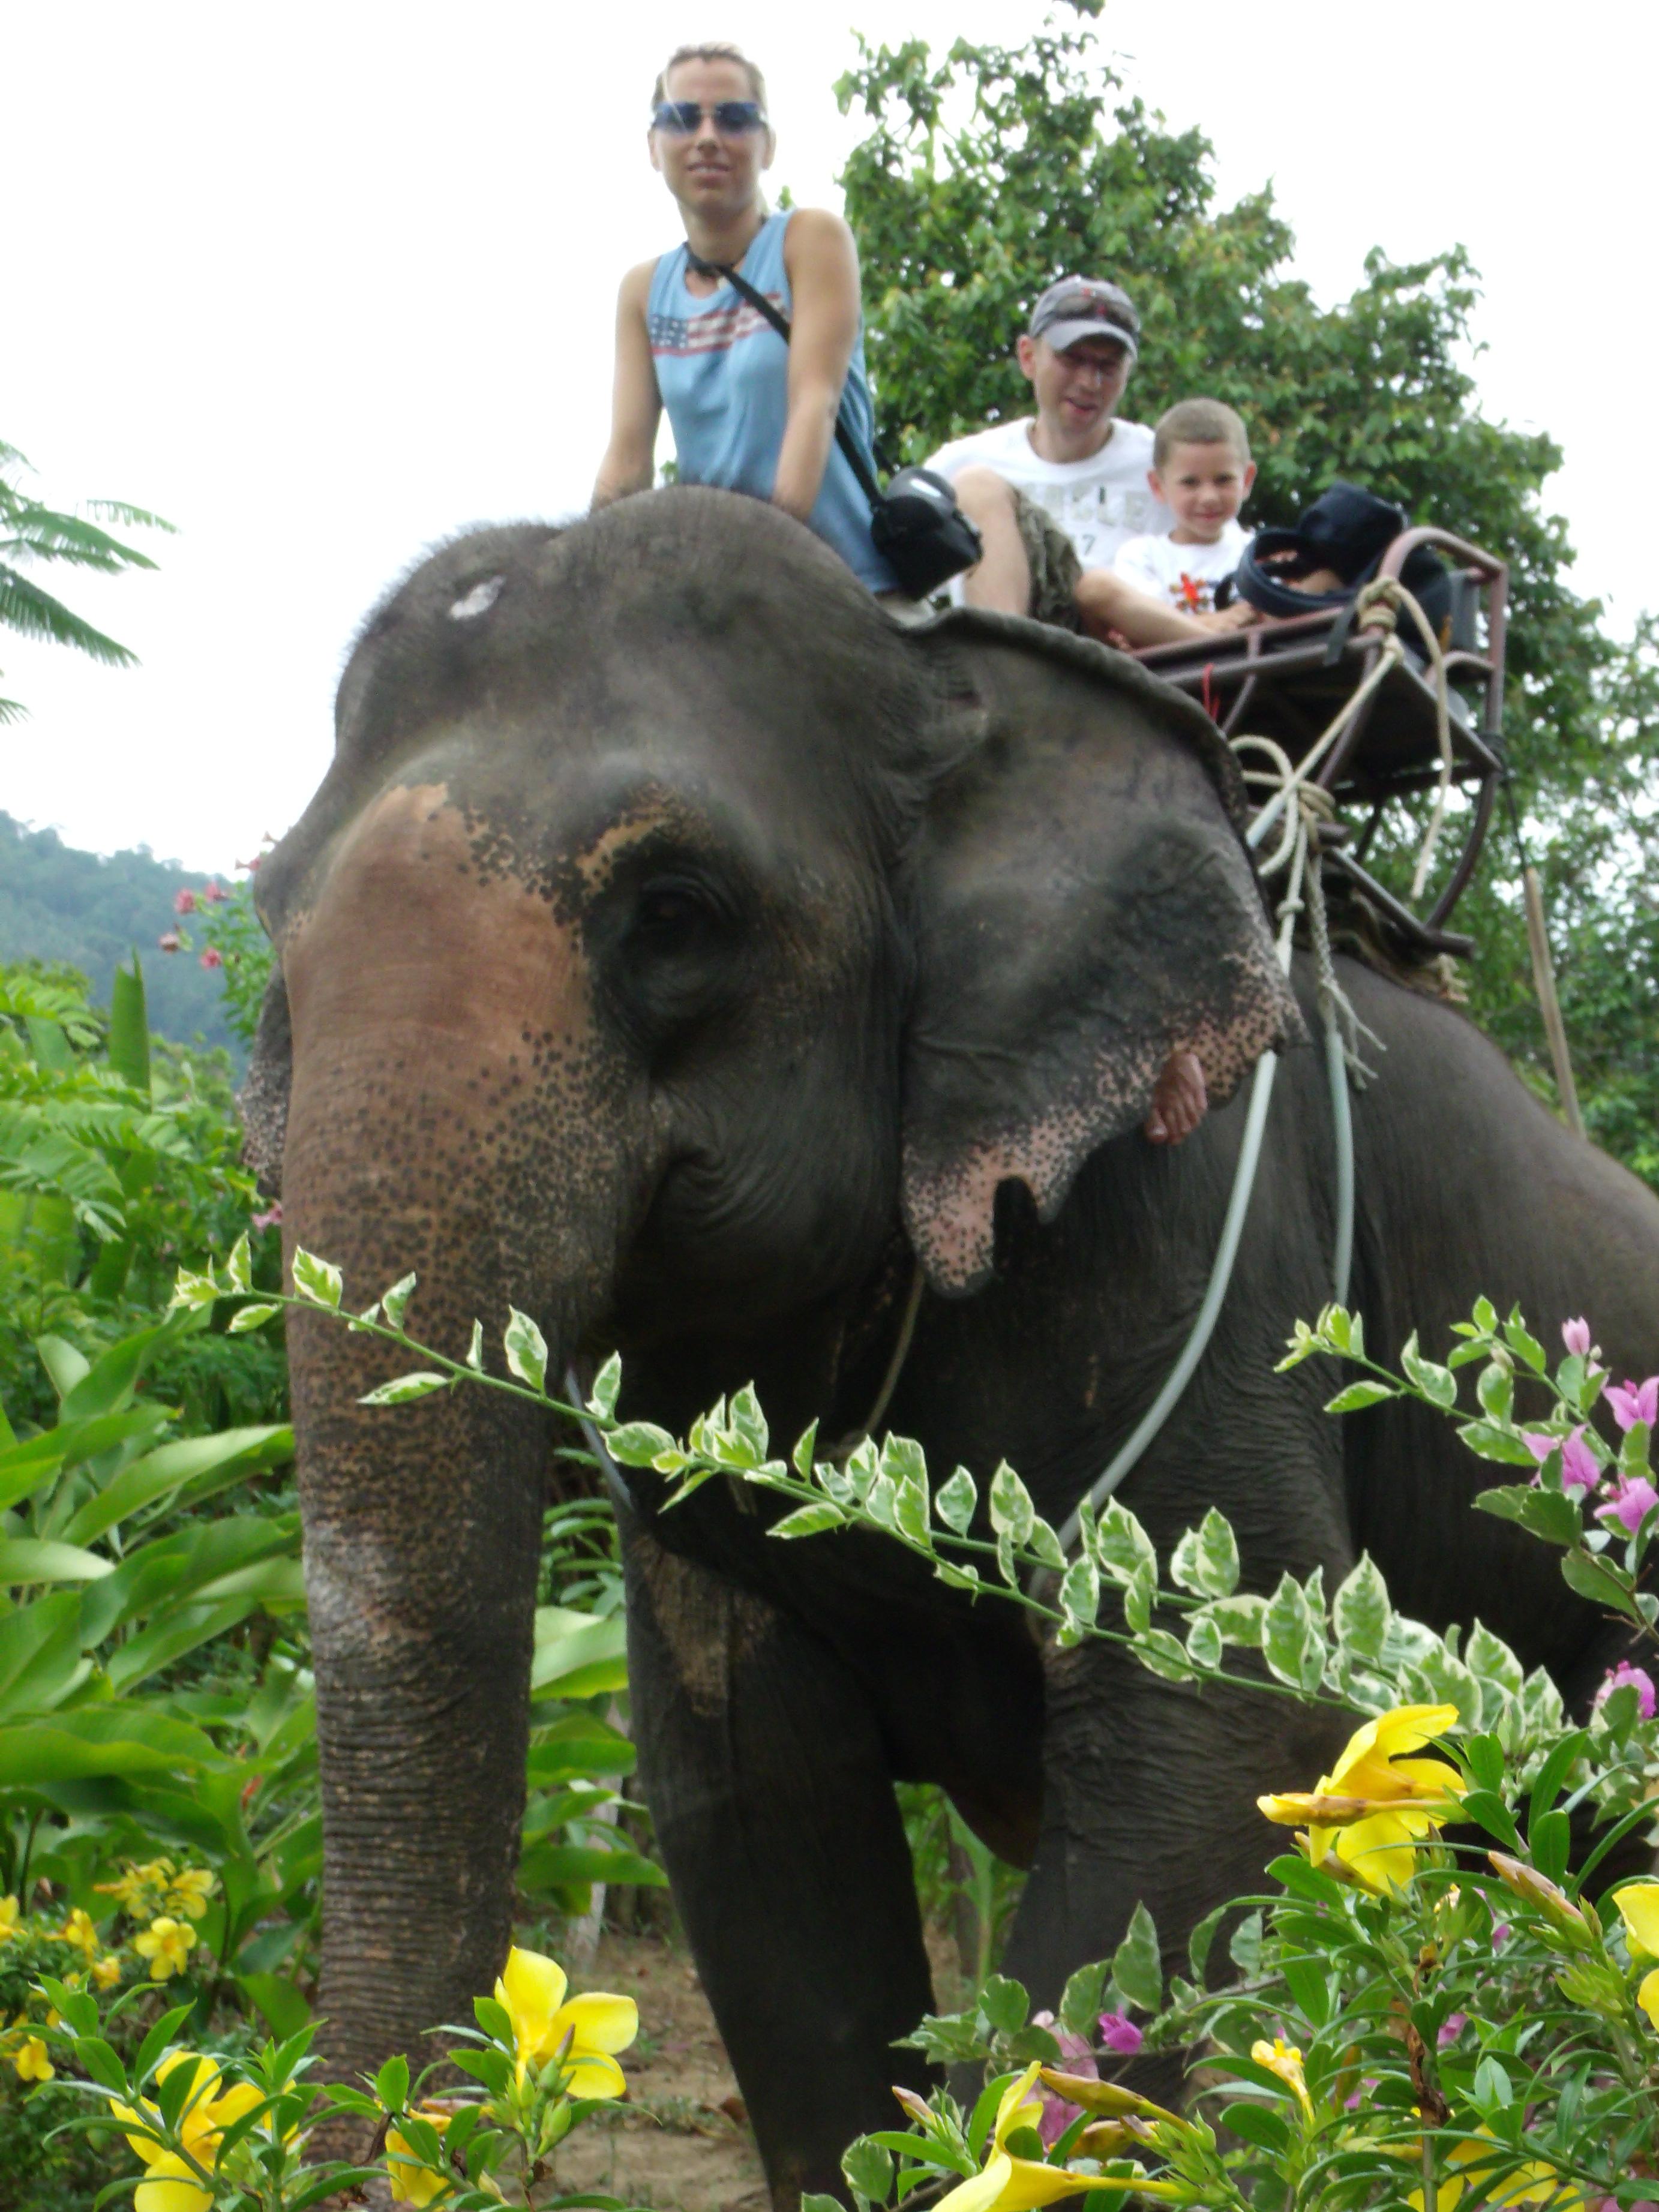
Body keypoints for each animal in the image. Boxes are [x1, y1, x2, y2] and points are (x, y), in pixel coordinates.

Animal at [243, 484, 1659, 2212]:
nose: (391, 2142)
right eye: (270, 916)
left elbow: (1222, 1735)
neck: (946, 672)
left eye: (674, 912)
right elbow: (747, 1799)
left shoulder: (1196, 1229)